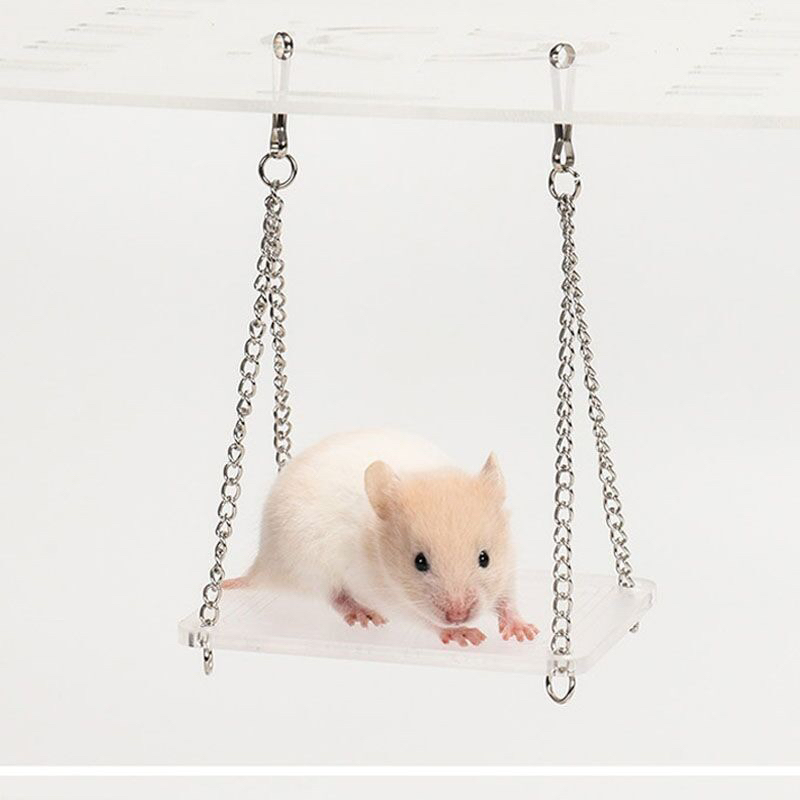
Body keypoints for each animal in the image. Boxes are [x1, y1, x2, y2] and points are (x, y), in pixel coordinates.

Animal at [224, 429, 538, 646]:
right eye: (419, 562)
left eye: (485, 558)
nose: (459, 617)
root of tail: (263, 565)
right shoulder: (385, 594)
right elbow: (420, 619)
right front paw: (466, 635)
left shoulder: (508, 567)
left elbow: (508, 598)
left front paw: (524, 632)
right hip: (309, 563)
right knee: (335, 596)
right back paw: (364, 615)